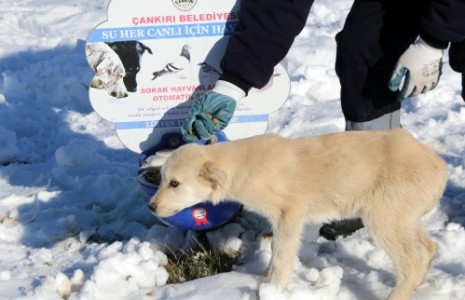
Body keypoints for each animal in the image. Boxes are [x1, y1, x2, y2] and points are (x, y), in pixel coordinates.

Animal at [149, 129, 446, 300]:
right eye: (161, 179)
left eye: (174, 183)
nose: (151, 207)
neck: (242, 166)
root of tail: (439, 165)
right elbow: (275, 251)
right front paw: (263, 275)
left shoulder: (289, 214)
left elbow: (282, 254)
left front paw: (273, 288)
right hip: (404, 218)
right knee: (428, 248)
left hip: (384, 219)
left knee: (413, 261)